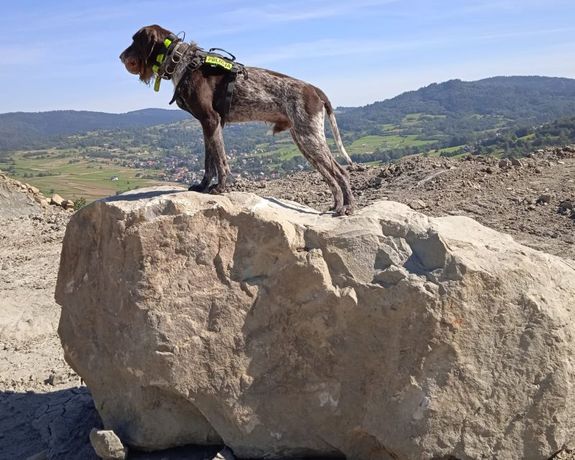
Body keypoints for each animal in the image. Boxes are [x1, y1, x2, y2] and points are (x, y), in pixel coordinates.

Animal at [120, 23, 356, 214]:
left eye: (135, 40)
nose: (120, 56)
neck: (182, 61)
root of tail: (314, 89)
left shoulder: (211, 120)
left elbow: (220, 162)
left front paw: (220, 188)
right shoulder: (208, 125)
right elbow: (209, 162)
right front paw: (204, 186)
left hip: (309, 138)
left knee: (341, 173)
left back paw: (347, 207)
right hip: (304, 141)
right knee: (330, 177)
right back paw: (336, 205)